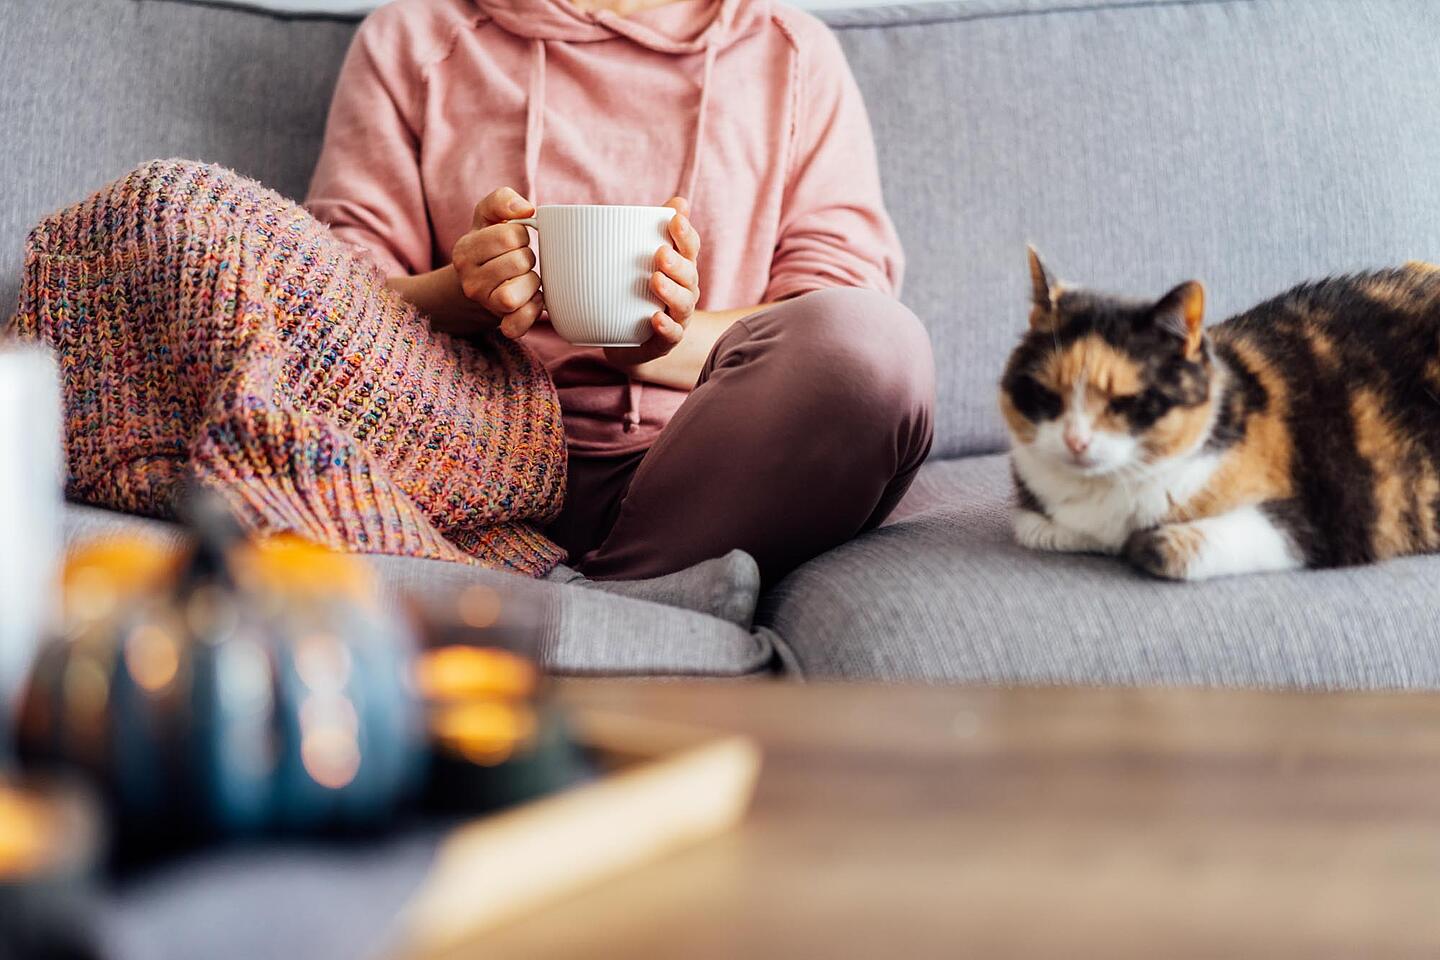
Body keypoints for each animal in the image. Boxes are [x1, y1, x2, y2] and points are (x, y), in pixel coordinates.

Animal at [1008, 247, 1440, 581]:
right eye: (1046, 395)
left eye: (1124, 402)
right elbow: (1031, 526)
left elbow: (1166, 548)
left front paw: (1148, 541)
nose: (1076, 441)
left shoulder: (1325, 517)